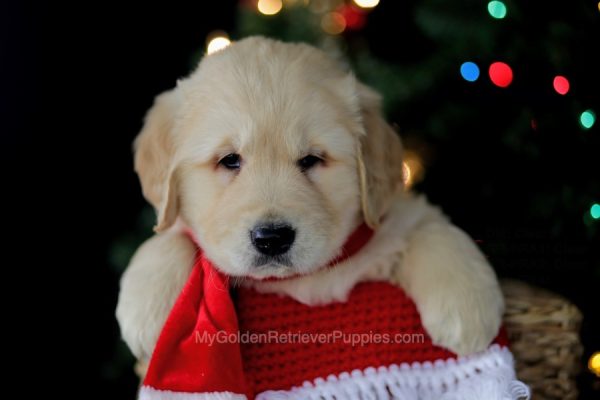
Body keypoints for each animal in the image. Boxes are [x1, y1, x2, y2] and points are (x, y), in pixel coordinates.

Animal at [116, 36, 502, 366]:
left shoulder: (397, 217)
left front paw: (466, 308)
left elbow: (433, 230)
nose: (272, 239)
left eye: (312, 160)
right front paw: (147, 312)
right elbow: (169, 237)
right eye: (229, 160)